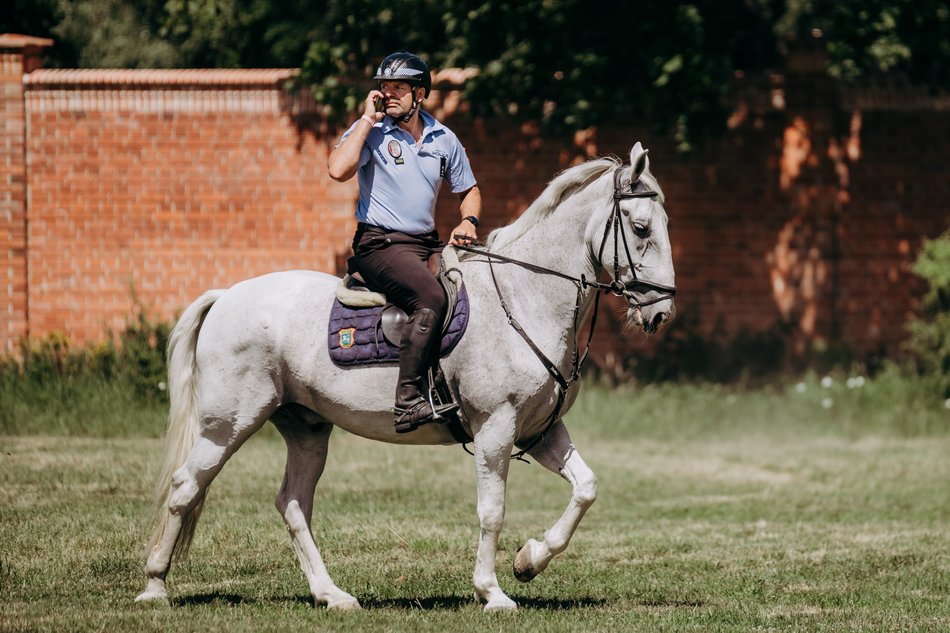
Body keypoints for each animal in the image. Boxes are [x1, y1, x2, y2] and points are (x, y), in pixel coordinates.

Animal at [138, 142, 680, 608]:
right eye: (640, 228)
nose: (660, 312)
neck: (524, 296)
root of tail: (227, 295)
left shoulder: (541, 431)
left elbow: (586, 488)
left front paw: (529, 560)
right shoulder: (496, 428)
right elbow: (492, 511)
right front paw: (493, 592)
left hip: (306, 428)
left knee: (292, 504)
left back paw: (332, 595)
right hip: (228, 424)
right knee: (186, 488)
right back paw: (154, 587)